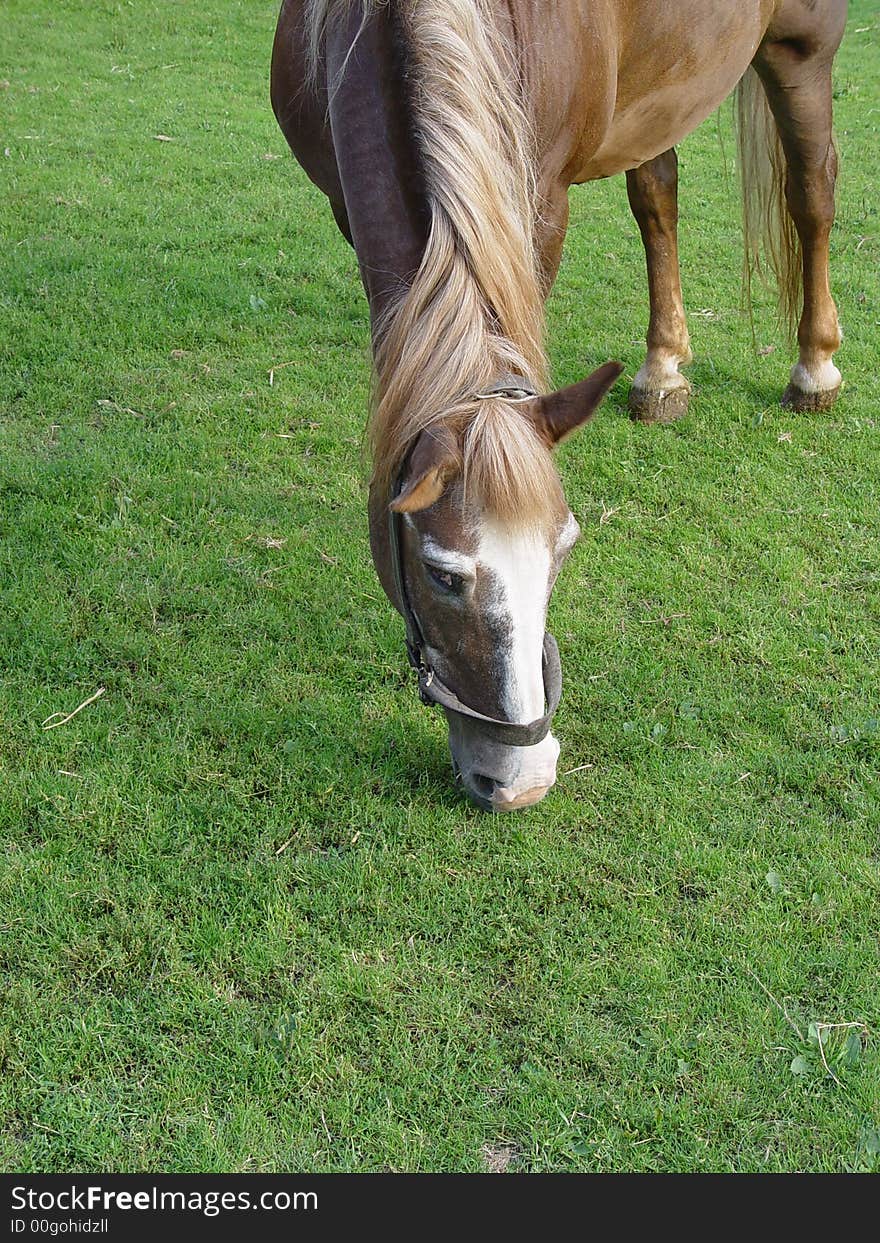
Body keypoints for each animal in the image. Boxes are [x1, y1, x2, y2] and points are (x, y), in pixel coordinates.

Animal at [270, 0, 850, 810]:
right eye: (443, 575)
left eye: (565, 550)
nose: (522, 782)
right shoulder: (351, 212)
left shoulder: (538, 202)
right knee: (658, 193)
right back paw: (663, 369)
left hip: (803, 47)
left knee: (812, 187)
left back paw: (814, 366)